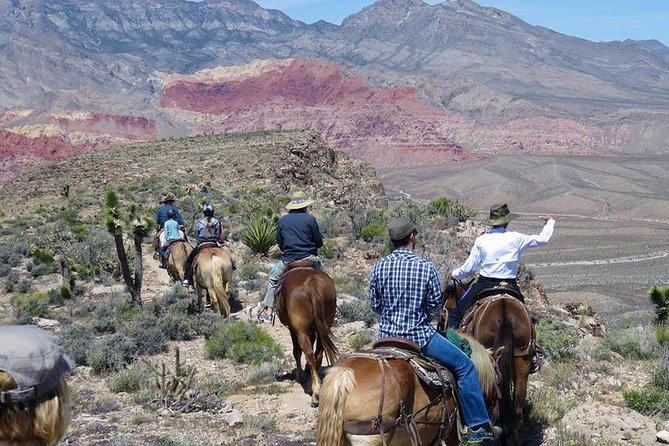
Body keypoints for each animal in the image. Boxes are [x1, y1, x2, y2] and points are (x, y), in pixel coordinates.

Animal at [276, 264, 340, 408]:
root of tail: (313, 283)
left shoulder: (293, 329)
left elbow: (296, 351)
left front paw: (300, 374)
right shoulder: (313, 329)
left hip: (301, 330)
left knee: (309, 354)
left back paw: (315, 394)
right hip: (325, 326)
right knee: (318, 354)